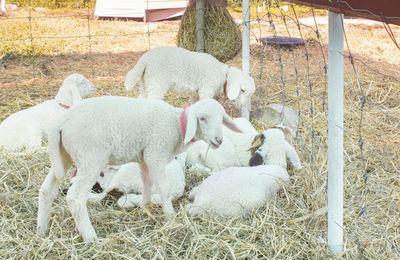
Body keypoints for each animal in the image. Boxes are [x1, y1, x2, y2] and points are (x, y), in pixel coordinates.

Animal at [37, 96, 242, 243]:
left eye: (222, 119)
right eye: (202, 118)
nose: (218, 140)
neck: (176, 125)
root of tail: (61, 123)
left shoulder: (145, 158)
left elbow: (146, 184)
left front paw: (146, 208)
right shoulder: (156, 154)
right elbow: (164, 189)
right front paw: (170, 218)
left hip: (64, 155)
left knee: (47, 190)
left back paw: (42, 229)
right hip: (90, 158)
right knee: (75, 197)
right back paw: (90, 237)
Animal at [125, 45, 255, 108]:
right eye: (242, 90)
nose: (242, 105)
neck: (223, 75)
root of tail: (145, 60)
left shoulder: (196, 93)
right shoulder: (206, 90)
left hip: (146, 83)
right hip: (157, 83)